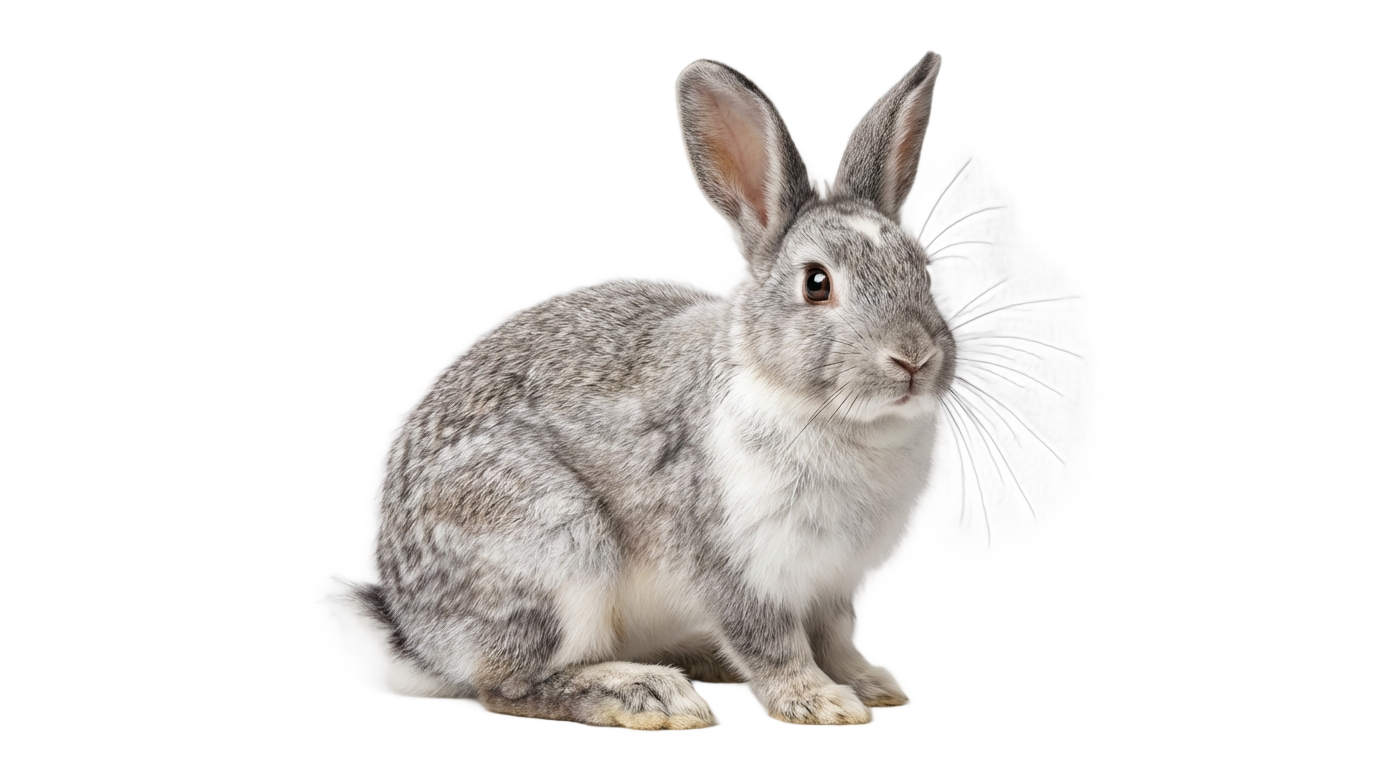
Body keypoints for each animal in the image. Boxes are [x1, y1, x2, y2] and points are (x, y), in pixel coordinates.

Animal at [336, 51, 953, 728]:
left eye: (923, 272)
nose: (914, 358)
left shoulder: (832, 585)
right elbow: (773, 644)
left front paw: (873, 687)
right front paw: (822, 703)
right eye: (817, 283)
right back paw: (649, 695)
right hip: (555, 549)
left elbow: (836, 641)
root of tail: (416, 635)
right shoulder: (734, 565)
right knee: (507, 686)